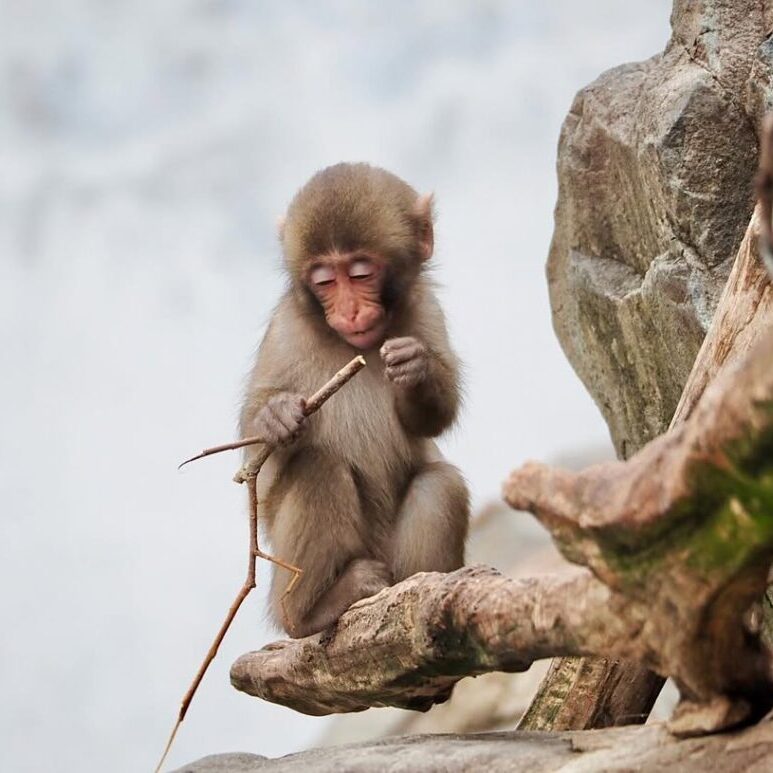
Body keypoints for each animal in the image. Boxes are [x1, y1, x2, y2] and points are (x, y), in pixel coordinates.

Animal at [240, 162, 469, 638]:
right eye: (325, 280)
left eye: (361, 273)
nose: (349, 312)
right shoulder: (286, 330)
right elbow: (258, 459)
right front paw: (273, 417)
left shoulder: (426, 309)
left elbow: (431, 421)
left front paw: (417, 370)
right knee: (317, 468)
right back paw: (311, 613)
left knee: (440, 484)